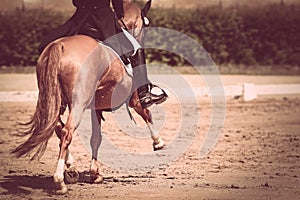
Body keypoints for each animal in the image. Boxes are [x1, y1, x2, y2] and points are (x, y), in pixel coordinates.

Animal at [12, 0, 164, 194]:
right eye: (145, 24)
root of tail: (59, 46)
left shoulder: (96, 106)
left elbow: (95, 138)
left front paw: (94, 174)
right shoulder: (134, 100)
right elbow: (146, 113)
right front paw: (158, 142)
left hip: (54, 100)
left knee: (56, 127)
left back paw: (71, 168)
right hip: (78, 103)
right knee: (67, 131)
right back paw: (60, 181)